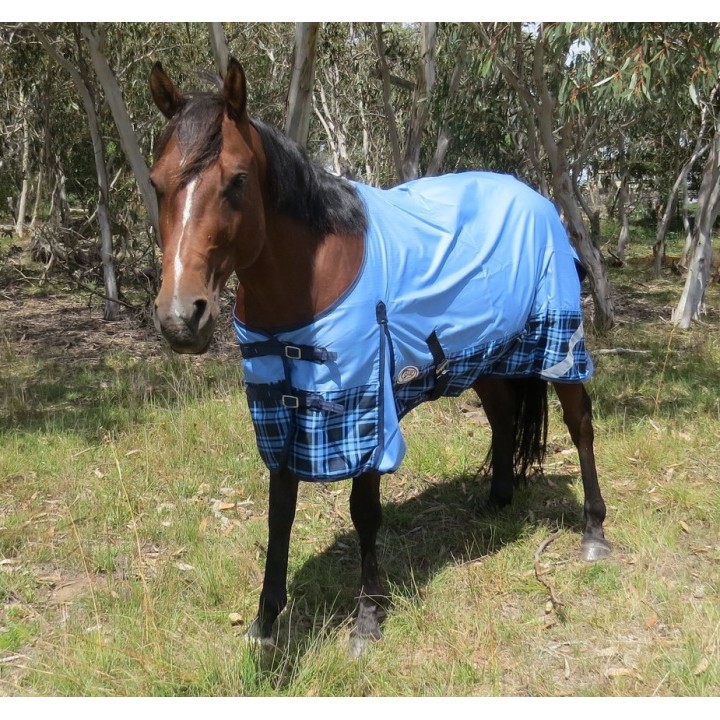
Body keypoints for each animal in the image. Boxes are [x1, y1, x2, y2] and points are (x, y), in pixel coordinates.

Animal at [148, 57, 610, 653]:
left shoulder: (364, 410)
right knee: (504, 416)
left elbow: (363, 512)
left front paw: (367, 618)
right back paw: (497, 500)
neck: (313, 279)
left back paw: (594, 532)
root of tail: (537, 198)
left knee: (581, 426)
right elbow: (280, 513)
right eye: (156, 183)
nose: (181, 318)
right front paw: (266, 625)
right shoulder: (283, 411)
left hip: (559, 346)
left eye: (237, 180)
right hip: (482, 354)